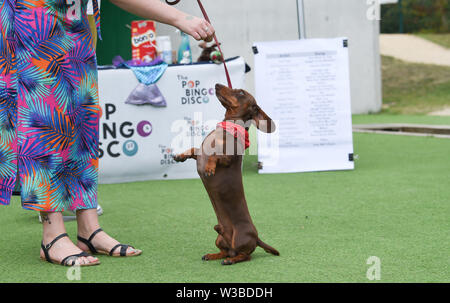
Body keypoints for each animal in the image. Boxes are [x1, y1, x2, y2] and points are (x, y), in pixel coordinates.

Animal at [174, 83, 280, 266]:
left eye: (241, 92)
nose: (217, 85)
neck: (228, 128)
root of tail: (256, 237)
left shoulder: (227, 158)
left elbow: (214, 156)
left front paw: (209, 168)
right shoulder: (199, 153)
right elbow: (193, 149)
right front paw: (180, 156)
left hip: (239, 237)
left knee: (244, 255)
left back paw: (231, 260)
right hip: (219, 239)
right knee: (225, 250)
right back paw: (213, 255)